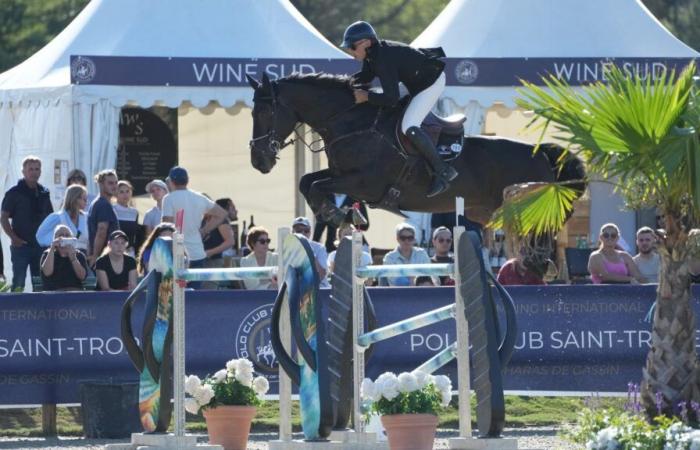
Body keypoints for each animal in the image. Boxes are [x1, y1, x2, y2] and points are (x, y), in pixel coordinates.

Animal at [246, 73, 584, 225]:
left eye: (264, 111)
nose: (258, 161)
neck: (353, 122)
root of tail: (543, 155)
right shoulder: (342, 174)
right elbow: (307, 182)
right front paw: (338, 216)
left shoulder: (364, 183)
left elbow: (316, 184)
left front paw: (336, 214)